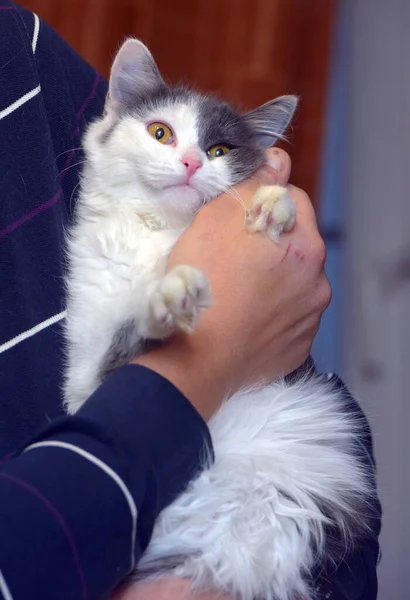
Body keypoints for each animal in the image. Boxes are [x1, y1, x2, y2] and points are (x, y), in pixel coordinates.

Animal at [65, 38, 374, 600]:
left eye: (219, 152)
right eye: (160, 133)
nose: (190, 162)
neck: (158, 232)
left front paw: (274, 207)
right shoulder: (86, 371)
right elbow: (127, 337)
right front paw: (170, 296)